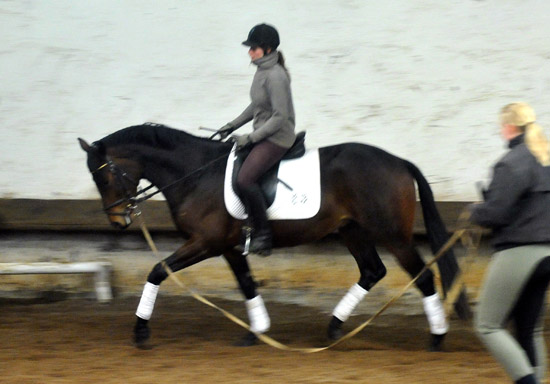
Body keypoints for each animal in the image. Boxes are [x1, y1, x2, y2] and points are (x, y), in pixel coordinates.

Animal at [80, 124, 472, 352]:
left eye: (104, 177)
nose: (117, 220)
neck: (195, 174)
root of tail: (398, 161)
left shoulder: (206, 243)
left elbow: (157, 271)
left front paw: (140, 332)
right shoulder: (228, 247)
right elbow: (247, 283)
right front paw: (257, 331)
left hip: (393, 236)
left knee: (423, 276)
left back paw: (437, 337)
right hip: (352, 230)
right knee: (373, 271)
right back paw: (334, 328)